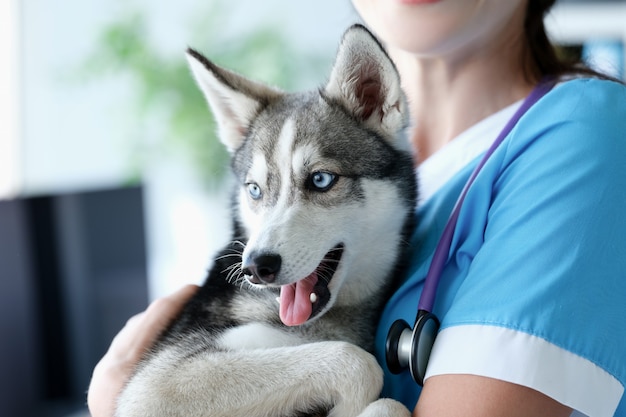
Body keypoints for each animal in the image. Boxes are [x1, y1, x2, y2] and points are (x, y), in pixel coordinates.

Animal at [118, 25, 420, 416]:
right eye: (255, 190)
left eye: (321, 180)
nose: (255, 267)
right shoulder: (154, 383)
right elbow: (357, 362)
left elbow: (384, 395)